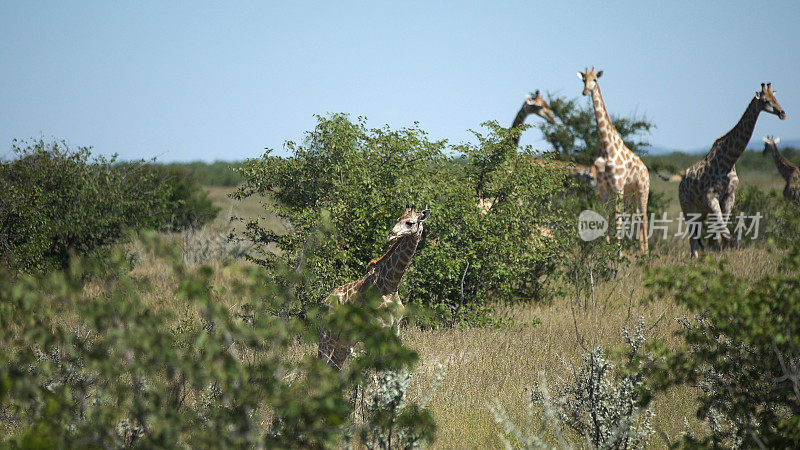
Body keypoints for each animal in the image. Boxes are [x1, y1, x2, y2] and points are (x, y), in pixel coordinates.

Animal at [318, 207, 432, 370]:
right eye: (398, 219)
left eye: (409, 222)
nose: (391, 235)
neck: (390, 285)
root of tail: (325, 301)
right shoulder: (377, 330)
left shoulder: (395, 330)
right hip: (327, 334)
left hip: (345, 339)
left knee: (334, 366)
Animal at [580, 68, 652, 255]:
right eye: (583, 79)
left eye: (595, 79)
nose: (585, 92)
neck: (606, 147)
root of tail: (645, 169)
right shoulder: (603, 187)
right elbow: (606, 215)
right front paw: (606, 249)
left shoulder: (618, 185)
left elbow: (619, 217)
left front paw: (618, 251)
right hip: (630, 192)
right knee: (636, 215)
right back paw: (639, 248)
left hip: (642, 189)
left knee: (644, 215)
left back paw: (646, 252)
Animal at [680, 81, 788, 256]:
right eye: (766, 100)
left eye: (775, 97)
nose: (782, 113)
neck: (728, 161)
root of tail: (681, 183)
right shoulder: (710, 197)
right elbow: (724, 231)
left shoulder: (729, 196)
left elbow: (722, 232)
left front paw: (723, 254)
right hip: (687, 207)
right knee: (692, 237)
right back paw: (694, 258)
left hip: (700, 211)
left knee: (696, 236)